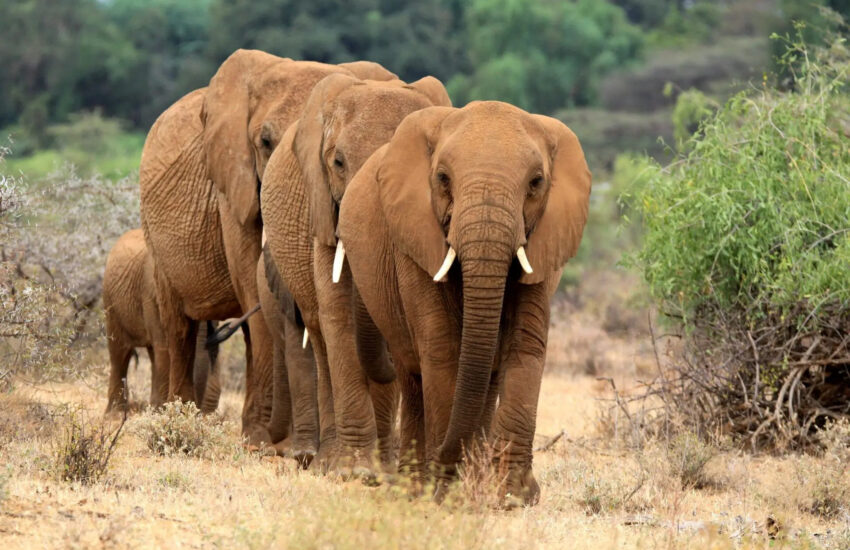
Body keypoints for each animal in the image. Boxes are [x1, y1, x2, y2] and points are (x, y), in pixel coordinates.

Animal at [103, 229, 221, 415]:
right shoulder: (150, 293)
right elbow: (164, 346)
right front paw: (163, 411)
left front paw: (161, 411)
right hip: (111, 302)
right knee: (120, 353)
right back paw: (114, 415)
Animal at [138, 49, 396, 446]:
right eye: (264, 142)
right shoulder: (232, 182)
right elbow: (251, 280)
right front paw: (260, 438)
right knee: (179, 325)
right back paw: (177, 416)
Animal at [260, 73, 452, 472]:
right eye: (337, 162)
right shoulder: (320, 205)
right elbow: (337, 312)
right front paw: (352, 470)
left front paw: (372, 468)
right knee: (319, 334)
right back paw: (326, 460)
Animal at [337, 101, 592, 505]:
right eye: (443, 178)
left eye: (536, 183)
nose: (445, 455)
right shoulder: (414, 238)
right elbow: (442, 348)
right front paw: (448, 491)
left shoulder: (544, 243)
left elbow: (525, 346)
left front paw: (512, 497)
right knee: (413, 375)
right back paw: (418, 486)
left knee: (486, 378)